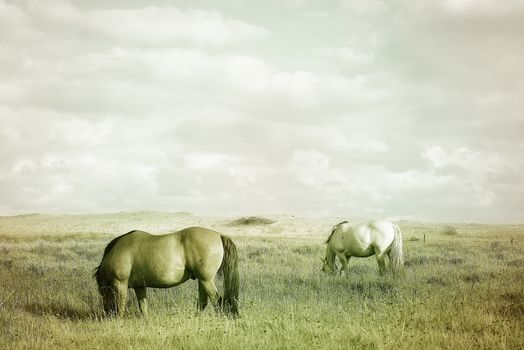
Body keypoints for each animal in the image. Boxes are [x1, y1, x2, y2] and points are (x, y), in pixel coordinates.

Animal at [94, 227, 239, 318]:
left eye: (103, 296)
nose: (107, 315)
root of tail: (219, 235)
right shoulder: (139, 286)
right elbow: (143, 307)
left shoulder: (120, 284)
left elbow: (121, 306)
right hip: (202, 281)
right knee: (203, 303)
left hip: (206, 280)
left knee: (217, 301)